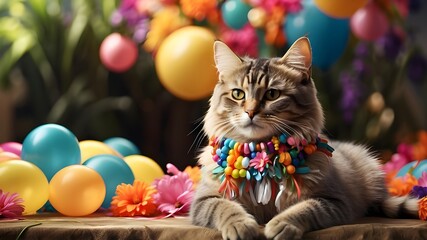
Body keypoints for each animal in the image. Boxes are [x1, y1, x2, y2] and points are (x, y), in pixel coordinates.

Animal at [190, 37, 418, 240]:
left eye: (272, 94)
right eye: (238, 94)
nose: (250, 112)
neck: (262, 157)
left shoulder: (333, 201)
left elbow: (305, 209)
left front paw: (281, 224)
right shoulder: (204, 199)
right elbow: (225, 208)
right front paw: (241, 225)